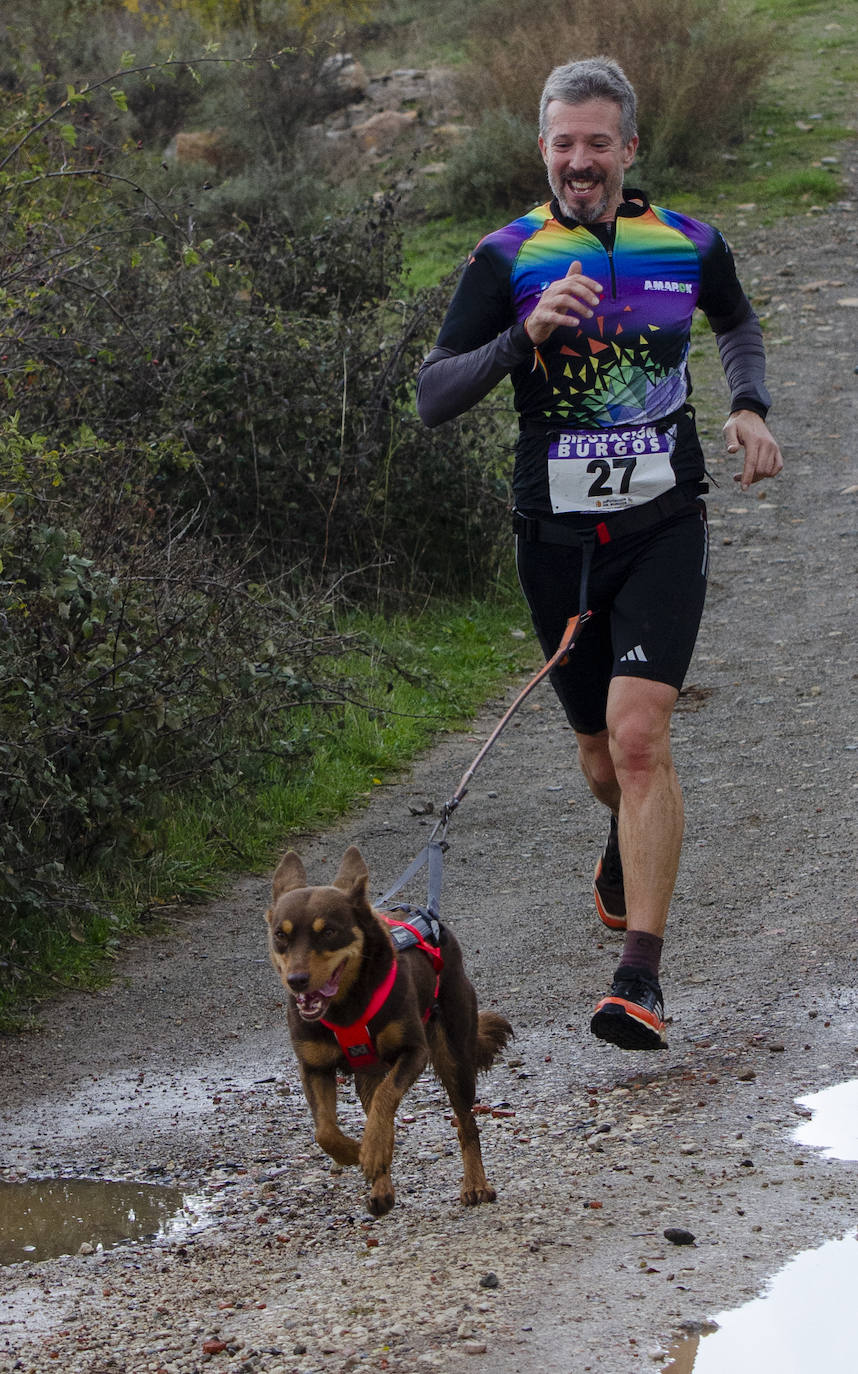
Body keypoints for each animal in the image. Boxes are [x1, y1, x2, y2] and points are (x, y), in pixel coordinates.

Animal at [265, 846, 511, 1214]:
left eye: (328, 932)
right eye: (281, 935)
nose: (297, 981)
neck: (346, 1007)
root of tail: (431, 918)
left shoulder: (414, 1051)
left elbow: (386, 1099)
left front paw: (368, 1151)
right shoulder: (313, 1066)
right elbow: (325, 1130)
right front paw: (356, 1152)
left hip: (454, 1055)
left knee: (465, 1122)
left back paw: (475, 1184)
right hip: (369, 1072)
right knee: (376, 1112)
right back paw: (381, 1182)